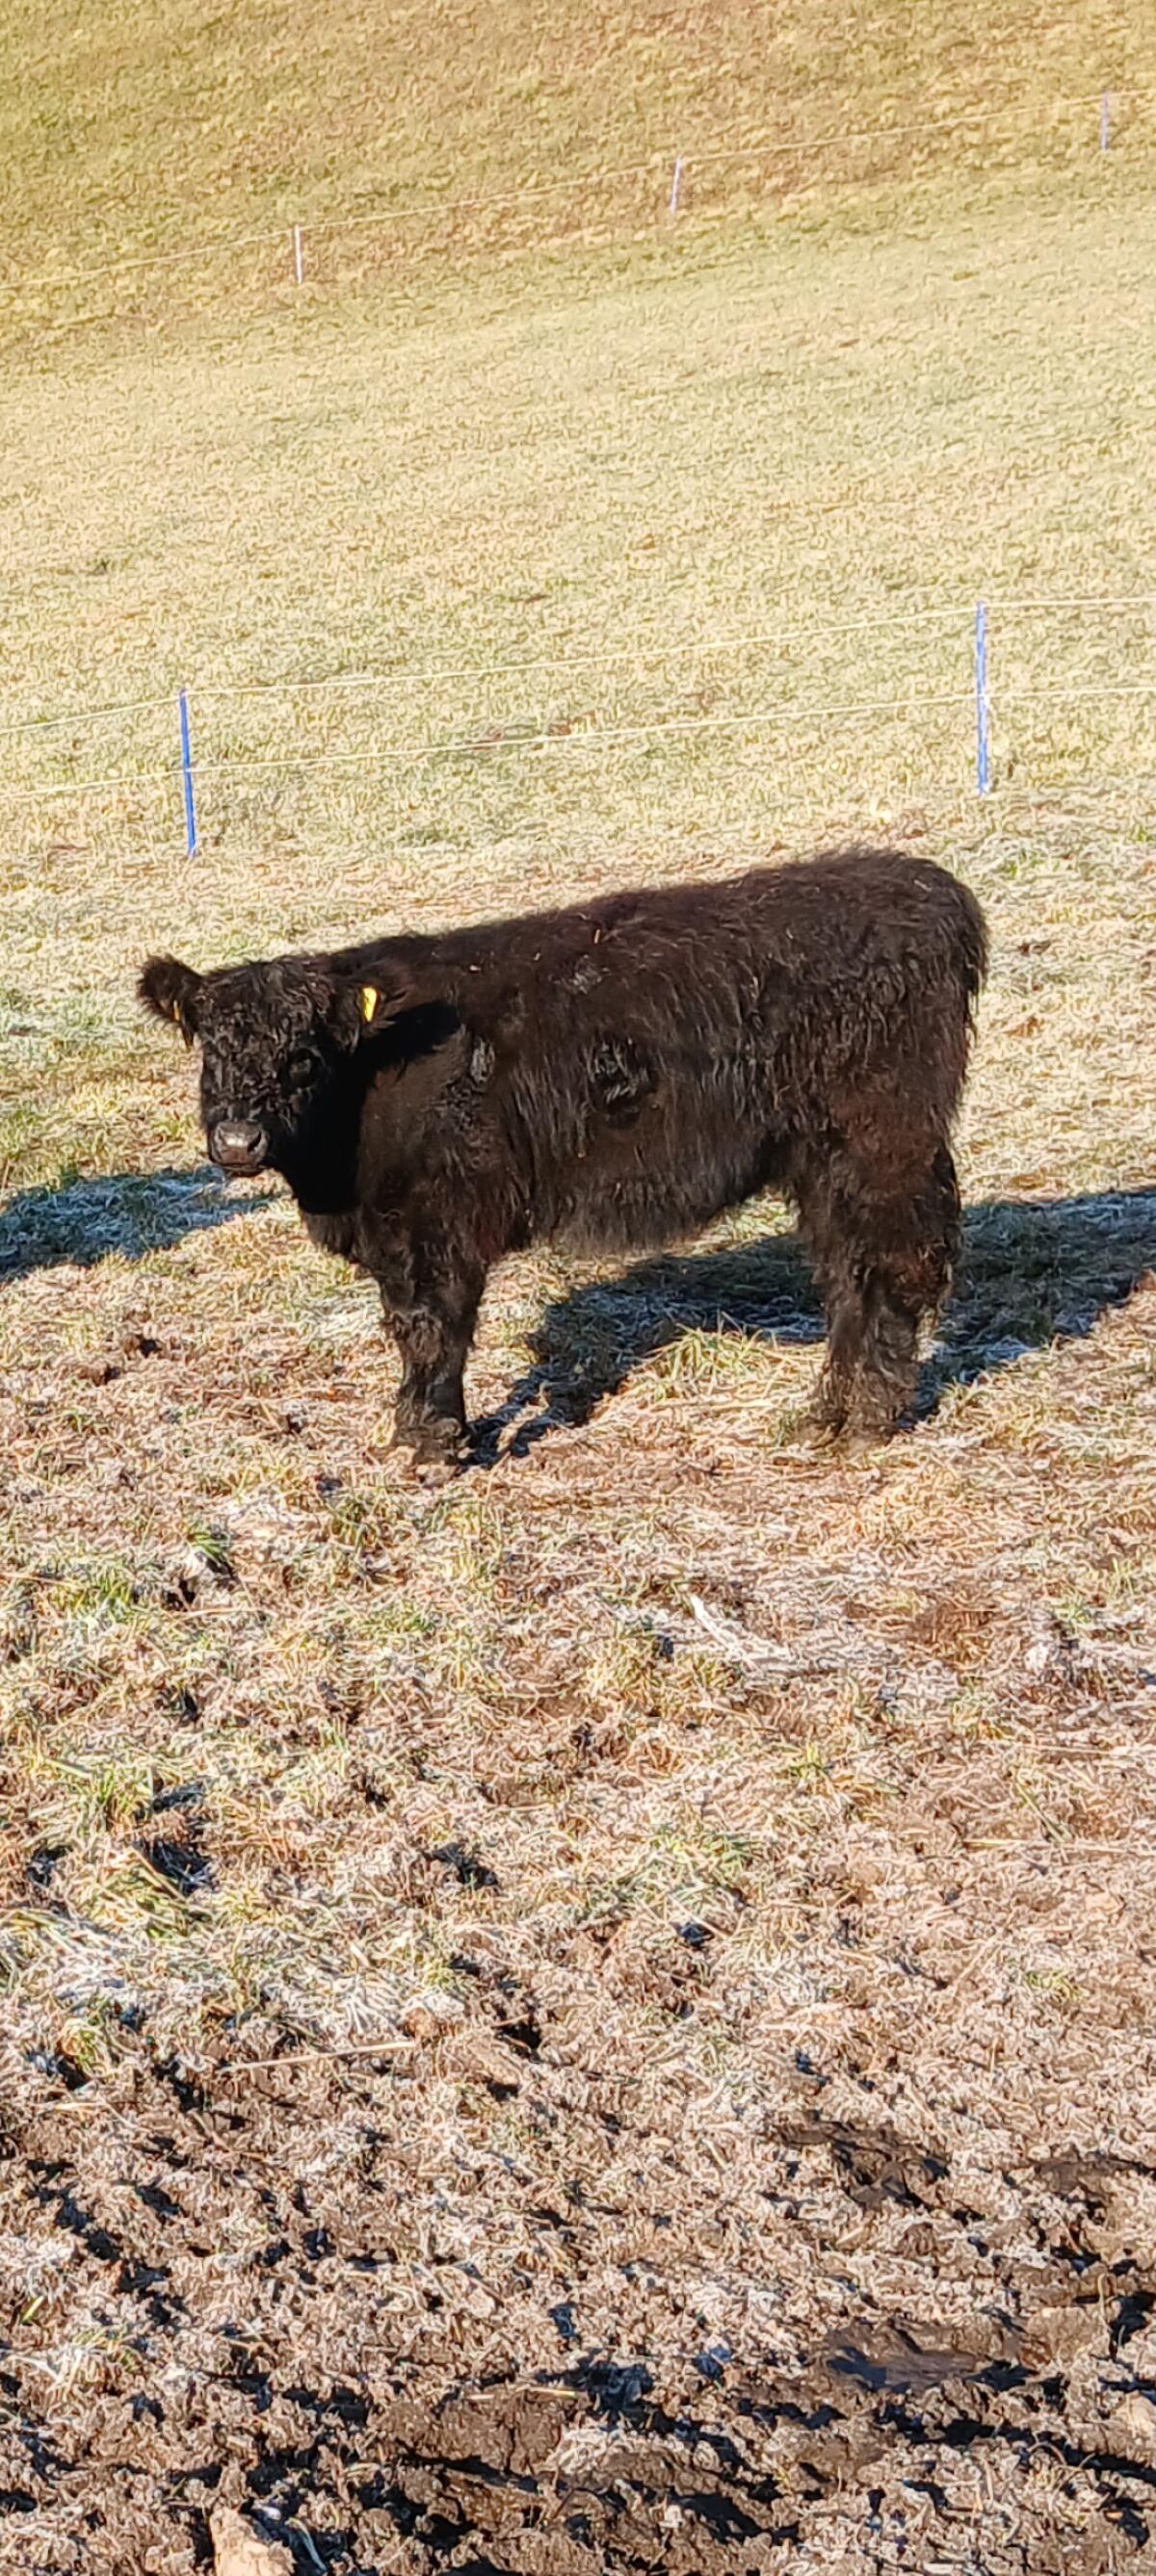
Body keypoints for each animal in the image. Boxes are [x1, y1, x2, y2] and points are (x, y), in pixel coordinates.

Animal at [139, 846, 987, 1468]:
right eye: (210, 1049)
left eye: (303, 1057)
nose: (238, 1141)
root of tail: (924, 884)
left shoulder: (435, 1219)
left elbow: (431, 1326)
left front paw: (432, 1443)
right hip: (824, 1164)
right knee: (845, 1273)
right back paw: (826, 1414)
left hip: (883, 1146)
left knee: (891, 1267)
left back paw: (867, 1418)